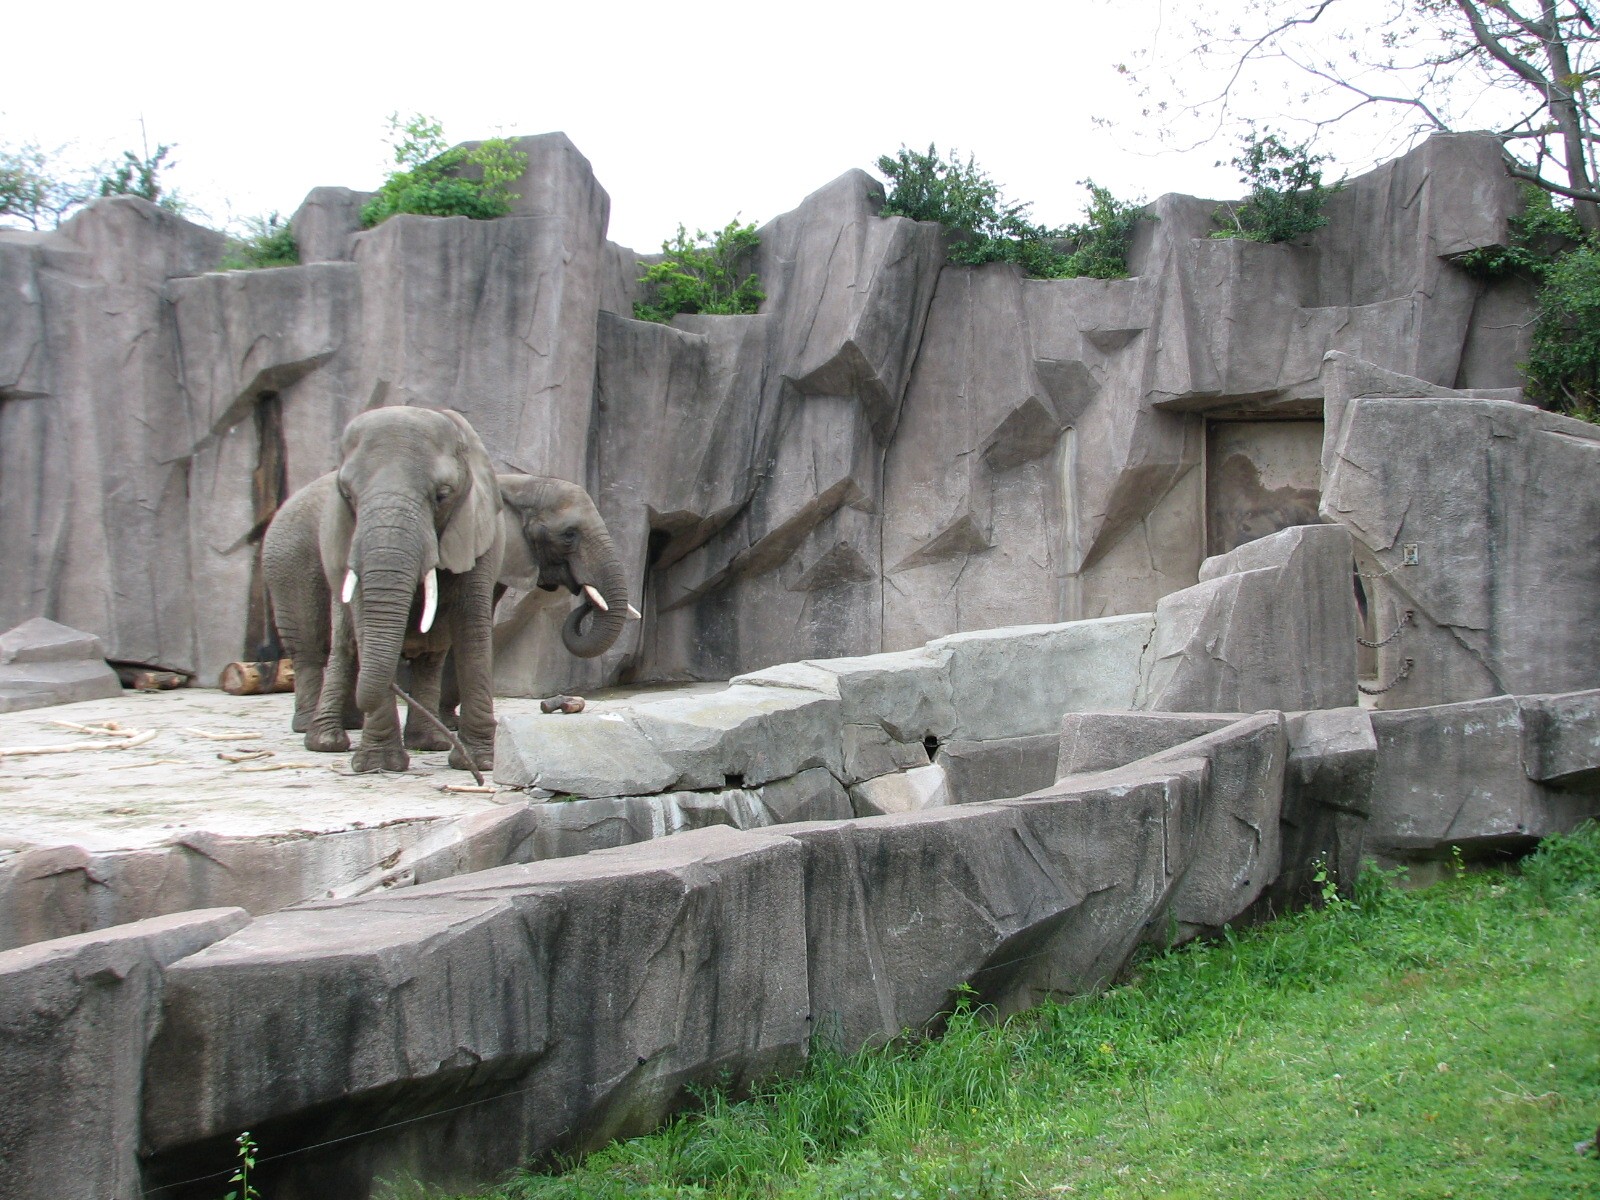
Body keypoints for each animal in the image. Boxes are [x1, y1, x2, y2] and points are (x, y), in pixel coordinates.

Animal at [263, 406, 503, 774]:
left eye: (442, 495)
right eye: (347, 495)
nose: (478, 777)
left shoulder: (478, 529)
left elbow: (472, 629)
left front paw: (479, 763)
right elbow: (364, 625)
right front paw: (380, 765)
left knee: (431, 656)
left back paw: (426, 742)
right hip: (288, 560)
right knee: (324, 647)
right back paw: (323, 739)